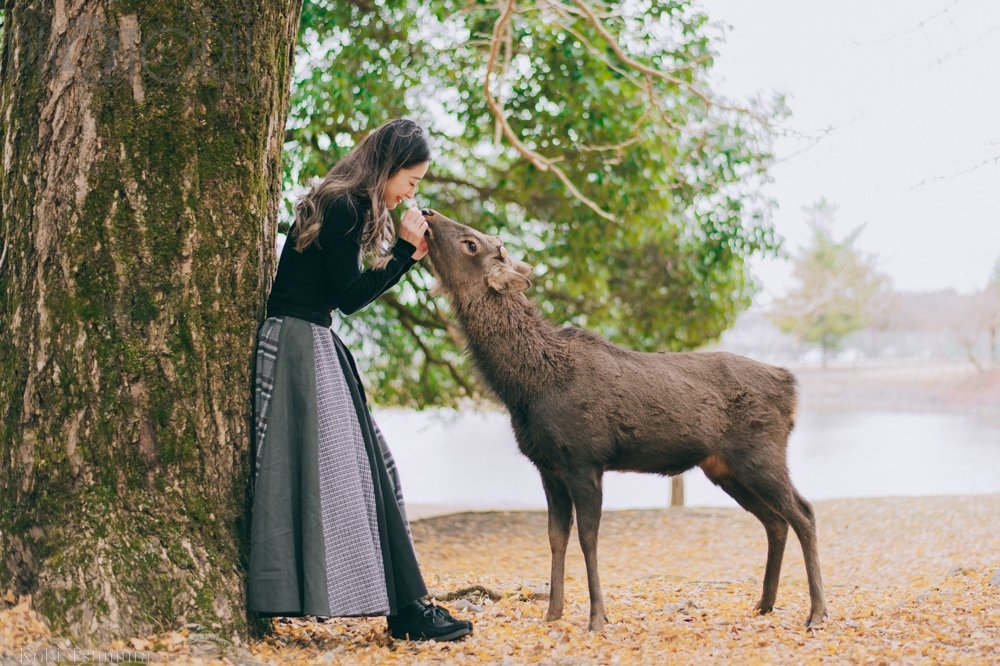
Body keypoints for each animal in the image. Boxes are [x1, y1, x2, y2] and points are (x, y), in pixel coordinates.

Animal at [422, 209, 828, 628]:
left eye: (471, 243)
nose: (427, 213)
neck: (526, 388)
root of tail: (791, 387)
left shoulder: (585, 458)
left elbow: (588, 538)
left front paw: (597, 618)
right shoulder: (548, 466)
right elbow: (555, 537)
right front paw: (552, 614)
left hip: (761, 453)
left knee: (804, 512)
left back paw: (816, 612)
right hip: (724, 468)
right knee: (775, 521)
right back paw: (765, 603)